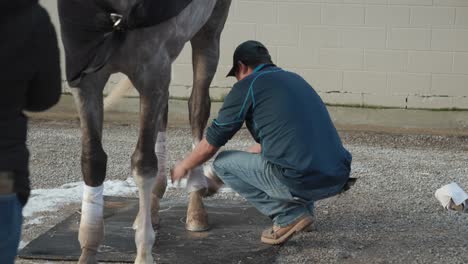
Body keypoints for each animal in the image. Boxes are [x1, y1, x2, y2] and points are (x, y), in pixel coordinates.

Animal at [58, 1, 232, 262]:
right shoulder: (86, 79)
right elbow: (92, 160)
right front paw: (88, 251)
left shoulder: (151, 73)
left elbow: (143, 164)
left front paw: (143, 252)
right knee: (164, 114)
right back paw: (150, 209)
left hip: (208, 33)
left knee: (197, 108)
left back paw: (196, 207)